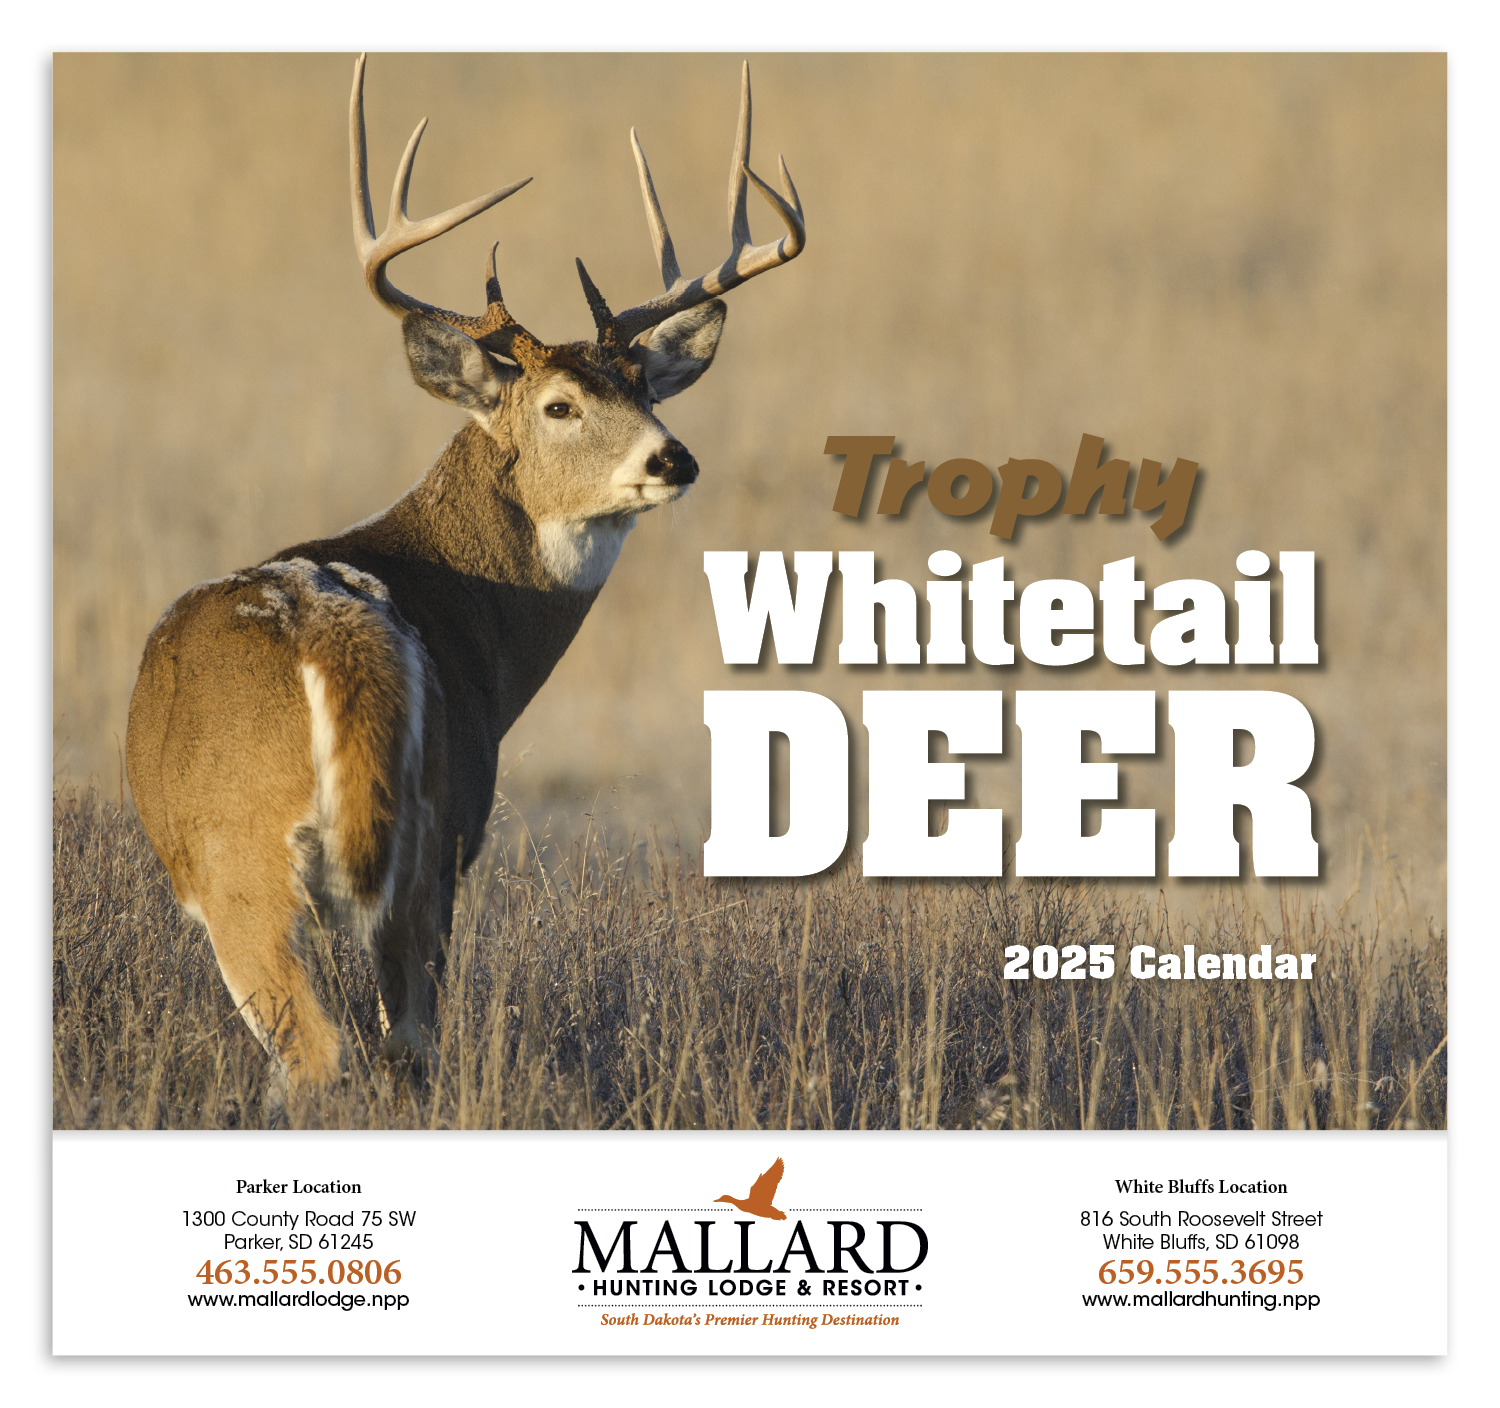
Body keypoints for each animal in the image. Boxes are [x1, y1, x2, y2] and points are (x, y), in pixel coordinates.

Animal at [125, 54, 804, 1093]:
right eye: (561, 404)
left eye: (644, 386)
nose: (673, 458)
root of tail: (332, 638)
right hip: (409, 851)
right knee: (398, 1042)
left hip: (266, 856)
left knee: (327, 1055)